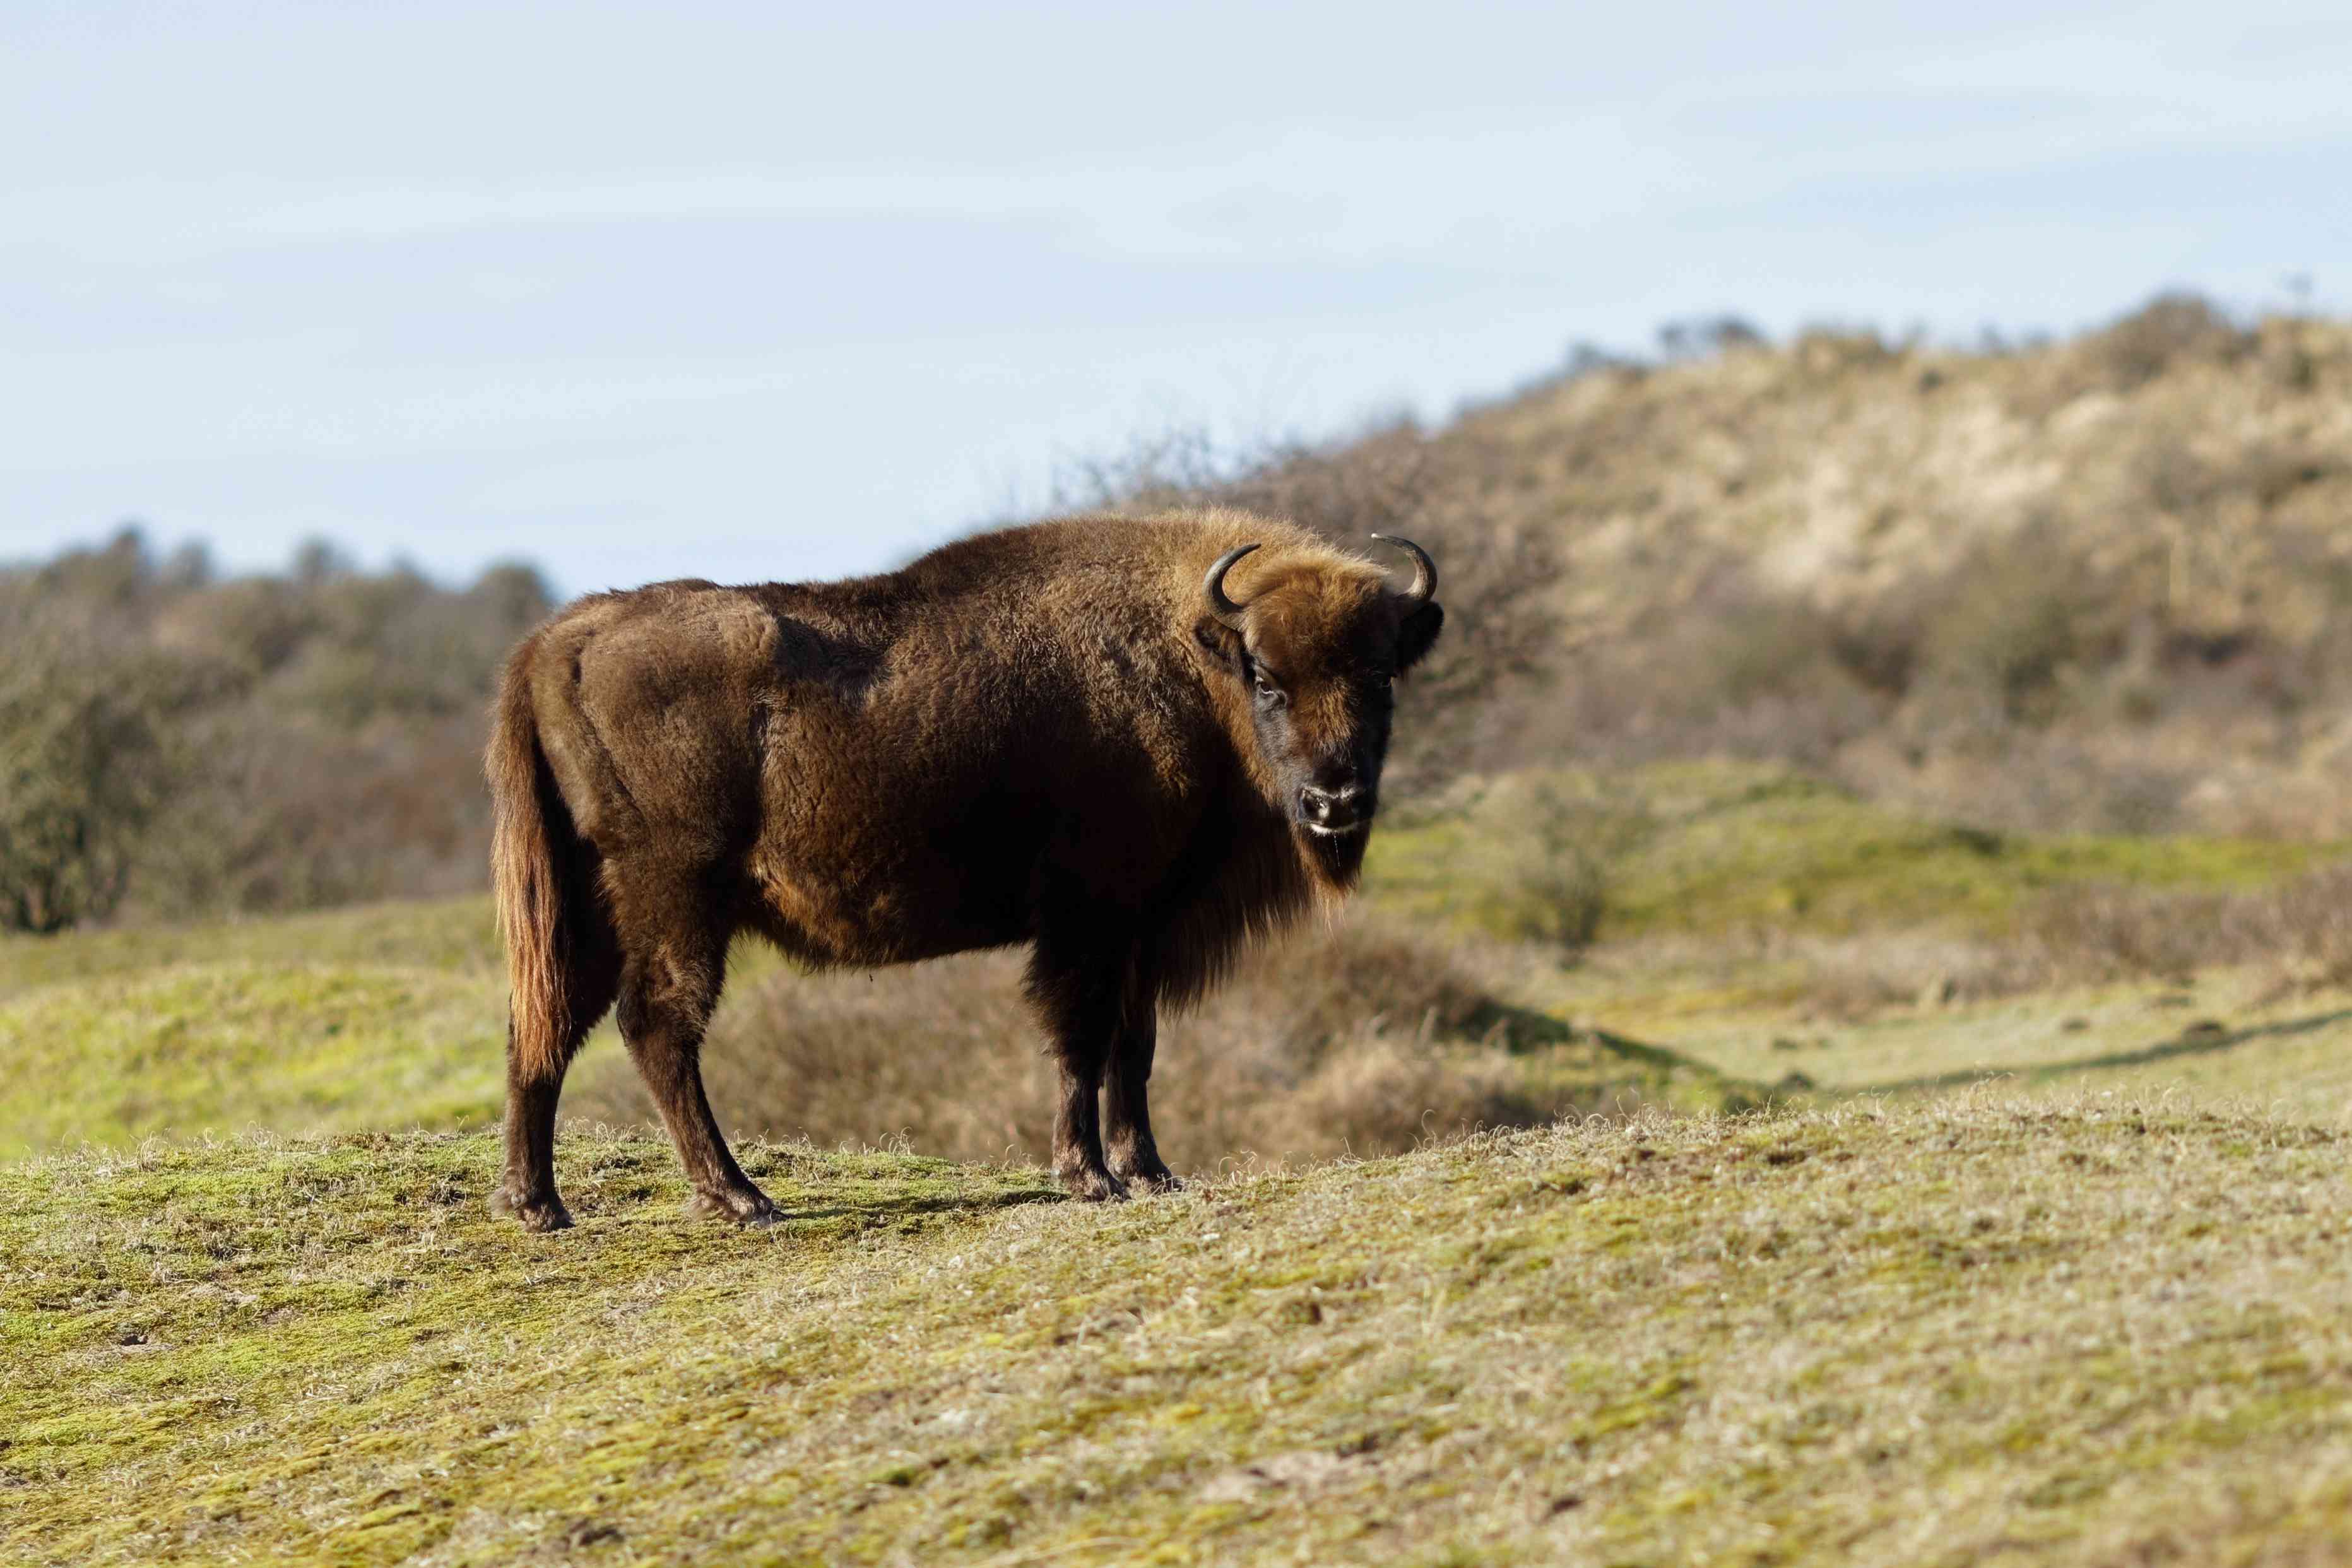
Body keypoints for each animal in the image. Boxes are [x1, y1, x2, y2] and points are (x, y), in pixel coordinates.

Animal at [487, 512, 1439, 1222]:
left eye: (1381, 677)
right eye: (1266, 678)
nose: (1333, 800)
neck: (1187, 651)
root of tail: (561, 639)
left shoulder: (1143, 922)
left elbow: (1134, 1047)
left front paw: (1152, 1171)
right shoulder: (1088, 917)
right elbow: (1081, 1038)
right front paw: (1090, 1177)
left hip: (587, 905)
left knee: (545, 1023)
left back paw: (538, 1205)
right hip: (676, 899)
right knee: (656, 1025)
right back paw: (741, 1198)